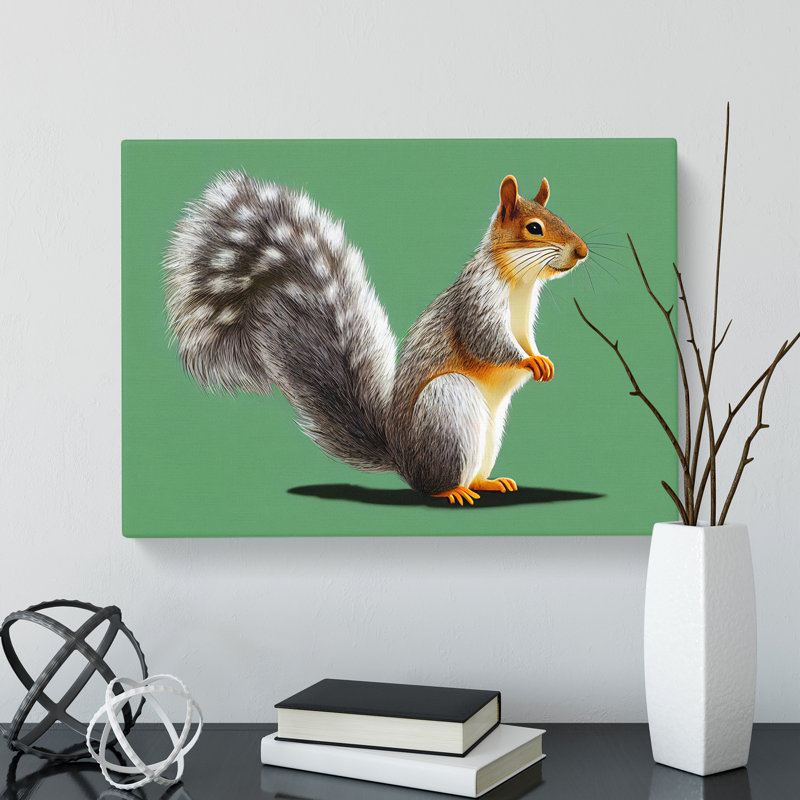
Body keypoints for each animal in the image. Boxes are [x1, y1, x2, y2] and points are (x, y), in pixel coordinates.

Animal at [164, 172, 587, 506]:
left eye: (561, 217)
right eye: (534, 228)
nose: (582, 251)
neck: (520, 282)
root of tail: (404, 459)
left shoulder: (524, 322)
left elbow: (525, 341)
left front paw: (540, 359)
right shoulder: (475, 304)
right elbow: (489, 342)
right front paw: (530, 362)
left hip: (491, 431)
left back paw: (487, 482)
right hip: (448, 404)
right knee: (433, 483)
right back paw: (452, 491)